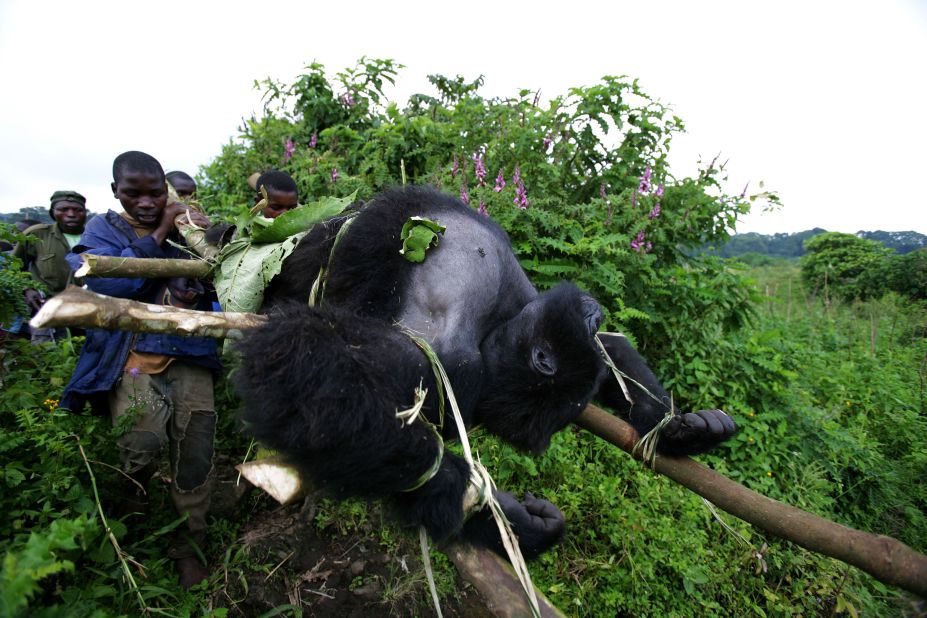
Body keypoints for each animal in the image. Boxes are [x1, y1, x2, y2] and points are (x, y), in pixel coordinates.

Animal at [236, 185, 736, 556]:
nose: (594, 312)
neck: (495, 323)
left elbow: (611, 352)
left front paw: (680, 431)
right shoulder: (449, 355)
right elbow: (295, 357)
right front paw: (459, 490)